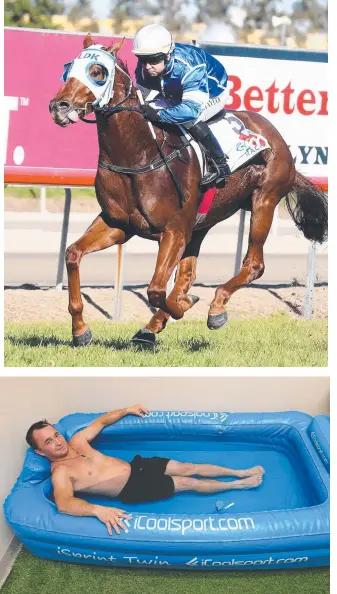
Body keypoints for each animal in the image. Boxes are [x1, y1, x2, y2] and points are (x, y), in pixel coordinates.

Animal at [48, 34, 326, 344]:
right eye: (68, 68)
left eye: (97, 72)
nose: (59, 106)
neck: (138, 155)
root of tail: (275, 136)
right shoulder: (118, 224)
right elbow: (73, 254)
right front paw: (80, 330)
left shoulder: (174, 230)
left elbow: (156, 289)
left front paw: (184, 306)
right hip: (202, 221)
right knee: (186, 275)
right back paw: (153, 327)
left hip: (263, 201)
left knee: (254, 264)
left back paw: (215, 308)